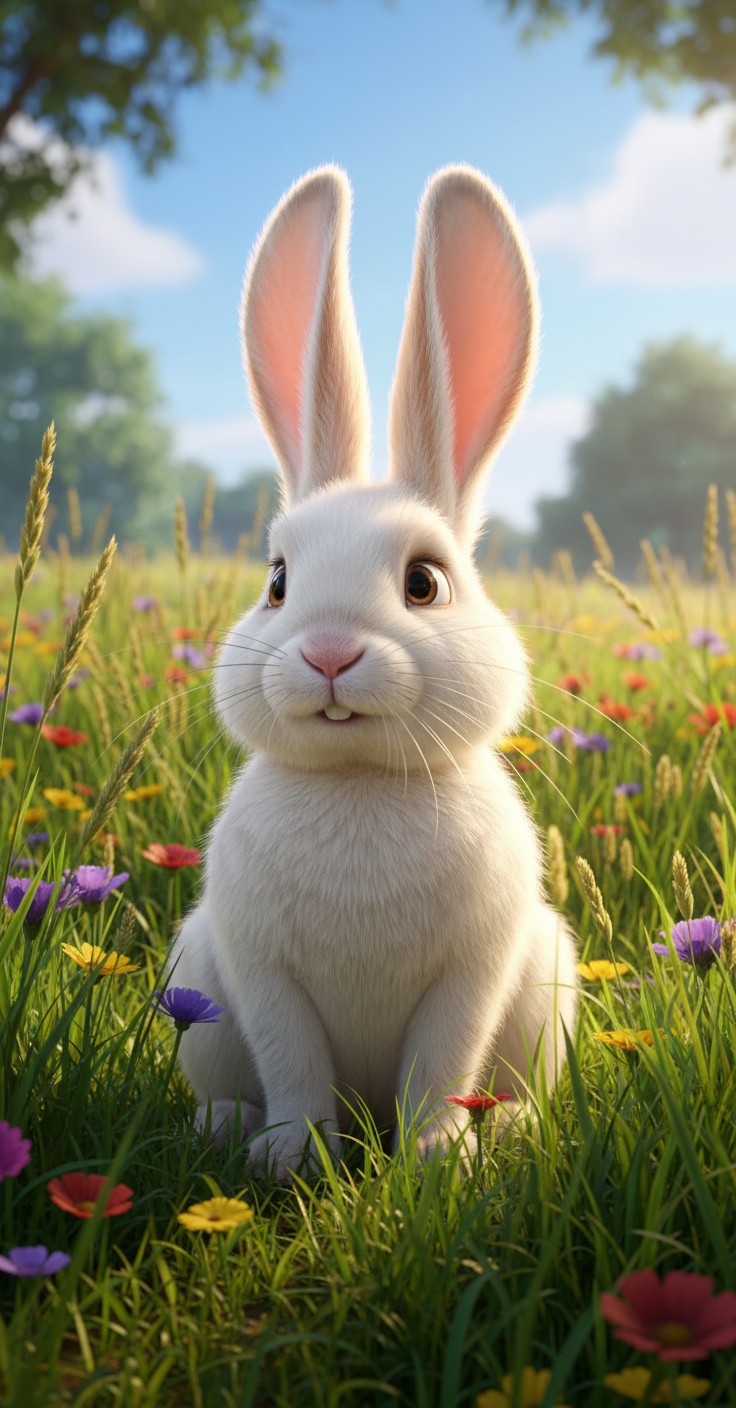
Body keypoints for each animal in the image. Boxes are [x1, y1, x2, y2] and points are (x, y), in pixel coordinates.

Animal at [171, 163, 579, 1179]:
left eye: (425, 582)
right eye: (278, 581)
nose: (327, 652)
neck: (359, 781)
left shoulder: (471, 974)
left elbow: (442, 1061)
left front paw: (438, 1158)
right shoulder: (262, 973)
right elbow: (294, 1063)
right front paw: (290, 1156)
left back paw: (507, 1129)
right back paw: (223, 1126)